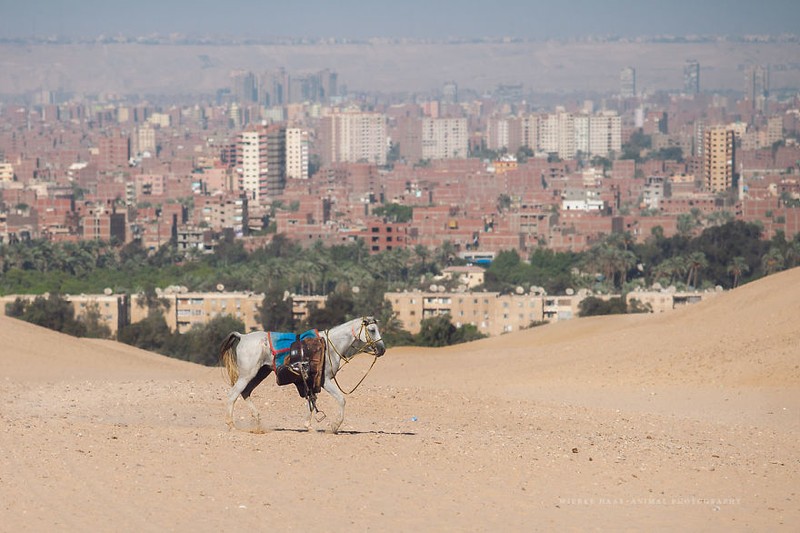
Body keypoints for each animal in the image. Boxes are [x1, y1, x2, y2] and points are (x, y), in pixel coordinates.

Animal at [217, 316, 382, 432]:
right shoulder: (325, 381)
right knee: (233, 394)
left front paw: (308, 425)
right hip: (247, 375)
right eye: (372, 330)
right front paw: (335, 426)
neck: (329, 346)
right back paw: (231, 425)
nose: (382, 349)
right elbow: (341, 400)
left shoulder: (311, 382)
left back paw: (257, 421)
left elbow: (311, 402)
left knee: (245, 392)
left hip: (260, 373)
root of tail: (243, 336)